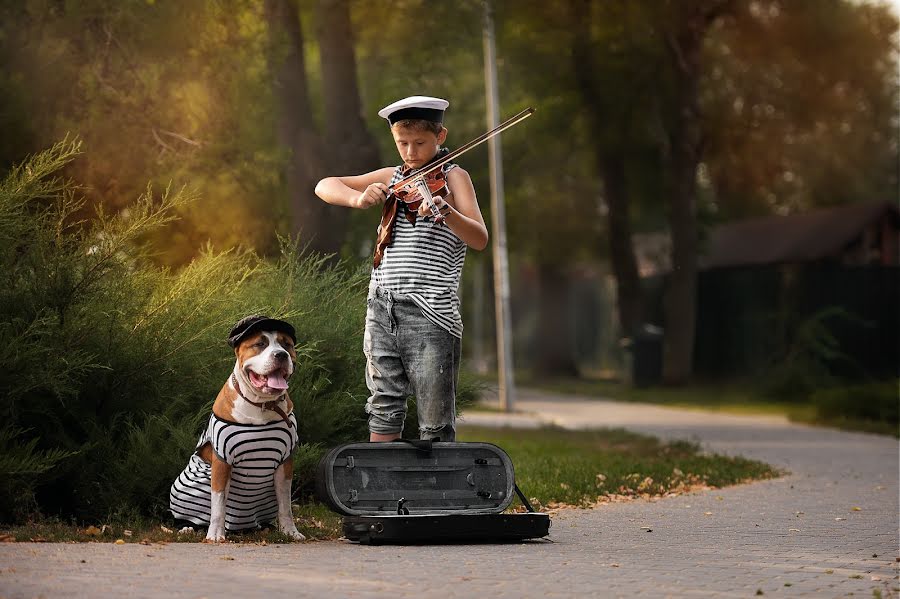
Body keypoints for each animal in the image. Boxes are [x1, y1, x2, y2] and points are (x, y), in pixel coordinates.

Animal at [169, 316, 306, 548]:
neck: (262, 405)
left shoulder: (285, 463)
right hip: (189, 487)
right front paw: (215, 534)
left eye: (286, 344)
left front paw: (290, 532)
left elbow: (286, 505)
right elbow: (218, 504)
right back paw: (188, 528)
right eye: (260, 344)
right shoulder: (222, 462)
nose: (281, 355)